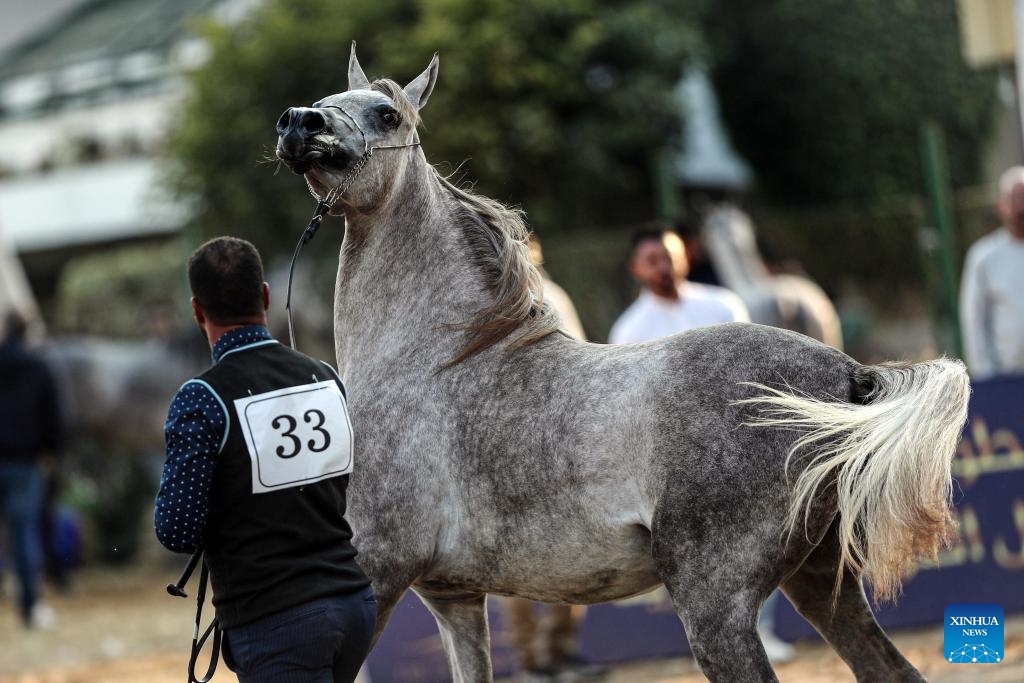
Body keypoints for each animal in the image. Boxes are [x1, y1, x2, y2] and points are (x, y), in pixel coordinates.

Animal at [276, 45, 970, 679]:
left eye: (386, 113)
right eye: (325, 99)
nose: (298, 123)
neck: (433, 362)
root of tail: (848, 376)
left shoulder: (378, 573)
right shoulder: (456, 599)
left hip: (715, 607)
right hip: (822, 583)